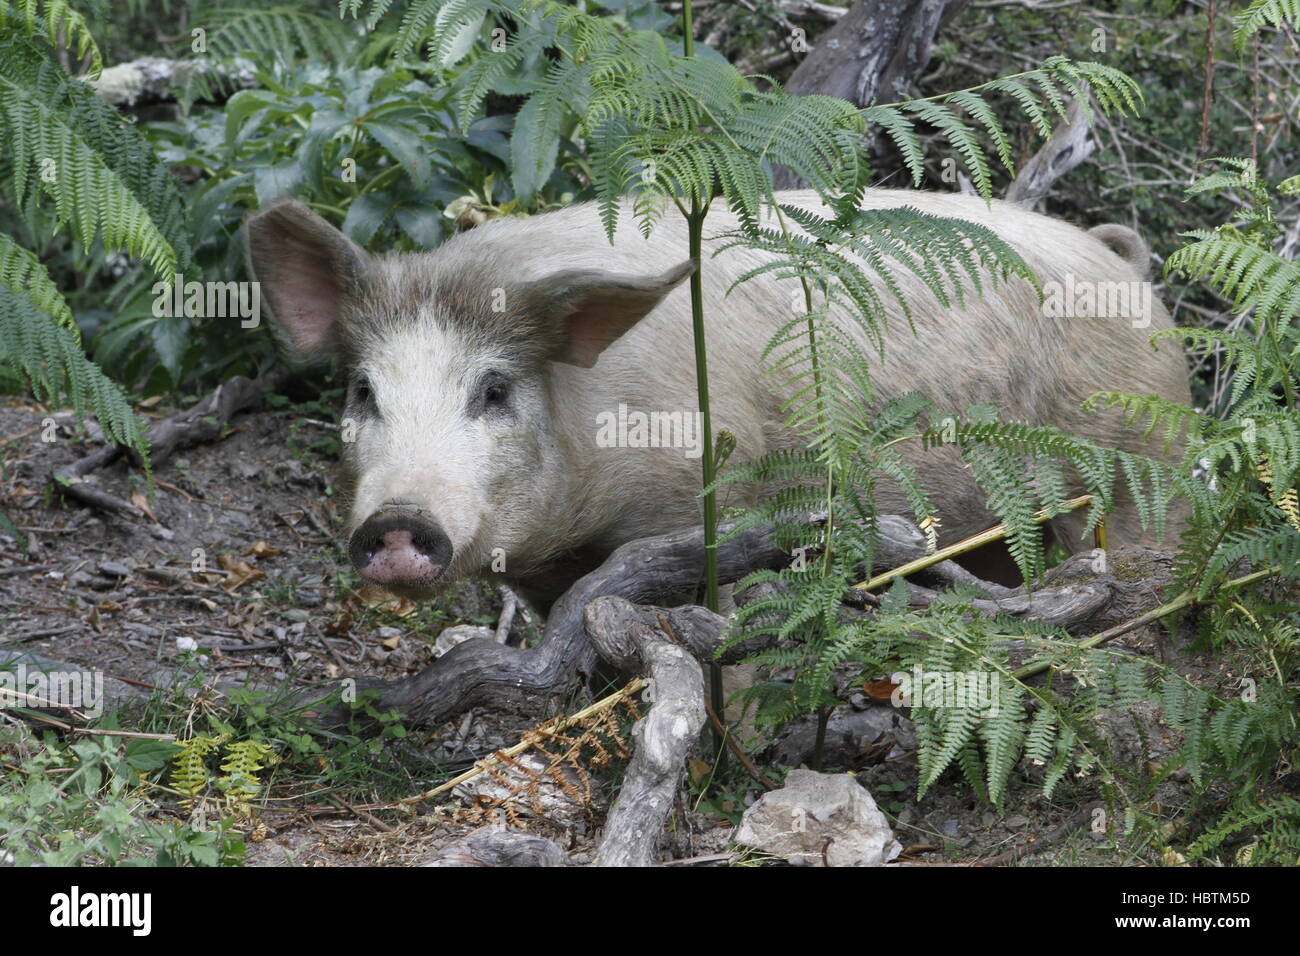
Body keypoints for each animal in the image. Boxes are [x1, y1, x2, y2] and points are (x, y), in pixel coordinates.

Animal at [244, 189, 1190, 606]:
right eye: (364, 389)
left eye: (494, 388)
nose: (398, 521)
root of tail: (1125, 265)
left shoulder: (706, 507)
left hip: (1144, 461)